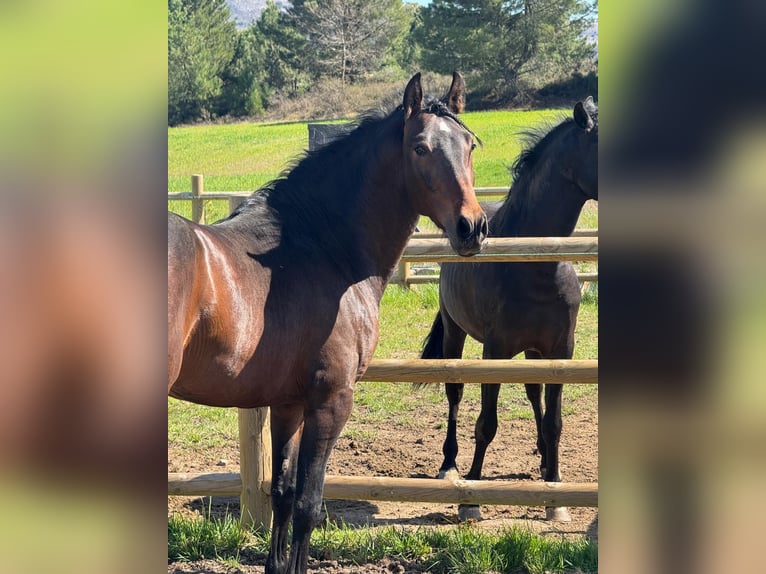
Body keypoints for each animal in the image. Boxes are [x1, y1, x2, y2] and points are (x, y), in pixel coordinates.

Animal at [168, 72, 488, 574]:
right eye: (420, 148)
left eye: (470, 145)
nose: (471, 228)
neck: (321, 246)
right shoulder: (331, 401)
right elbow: (307, 504)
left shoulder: (288, 404)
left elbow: (283, 494)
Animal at [421, 97, 598, 523]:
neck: (535, 266)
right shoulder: (494, 349)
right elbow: (486, 423)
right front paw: (471, 497)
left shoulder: (561, 351)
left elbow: (554, 422)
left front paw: (555, 495)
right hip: (456, 333)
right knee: (454, 394)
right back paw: (449, 464)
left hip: (532, 352)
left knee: (534, 396)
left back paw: (544, 460)